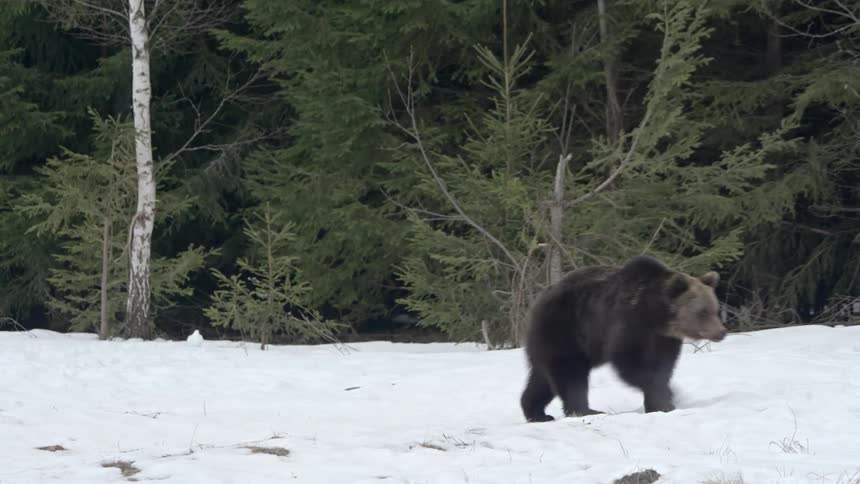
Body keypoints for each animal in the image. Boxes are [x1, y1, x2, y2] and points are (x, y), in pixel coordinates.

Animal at [519, 254, 726, 423]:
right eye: (702, 312)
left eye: (715, 309)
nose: (721, 332)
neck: (656, 315)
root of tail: (538, 301)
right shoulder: (627, 322)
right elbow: (628, 361)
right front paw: (666, 396)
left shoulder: (662, 338)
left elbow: (663, 365)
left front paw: (660, 403)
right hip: (565, 328)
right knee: (570, 371)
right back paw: (585, 410)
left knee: (541, 379)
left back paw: (537, 413)